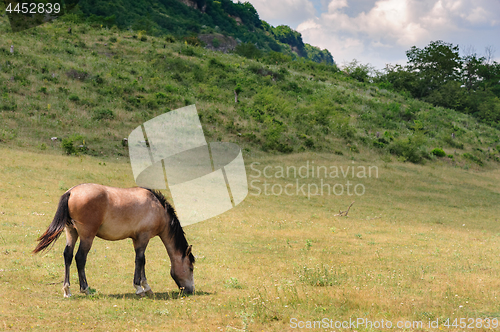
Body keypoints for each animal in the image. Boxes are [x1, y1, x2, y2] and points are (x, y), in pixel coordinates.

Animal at [32, 183, 194, 296]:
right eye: (191, 268)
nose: (190, 290)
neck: (157, 208)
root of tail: (71, 192)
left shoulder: (137, 239)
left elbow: (142, 261)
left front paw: (146, 287)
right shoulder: (143, 237)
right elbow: (140, 260)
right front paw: (139, 288)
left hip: (71, 232)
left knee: (68, 255)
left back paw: (67, 290)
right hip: (87, 236)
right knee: (80, 258)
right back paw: (85, 289)